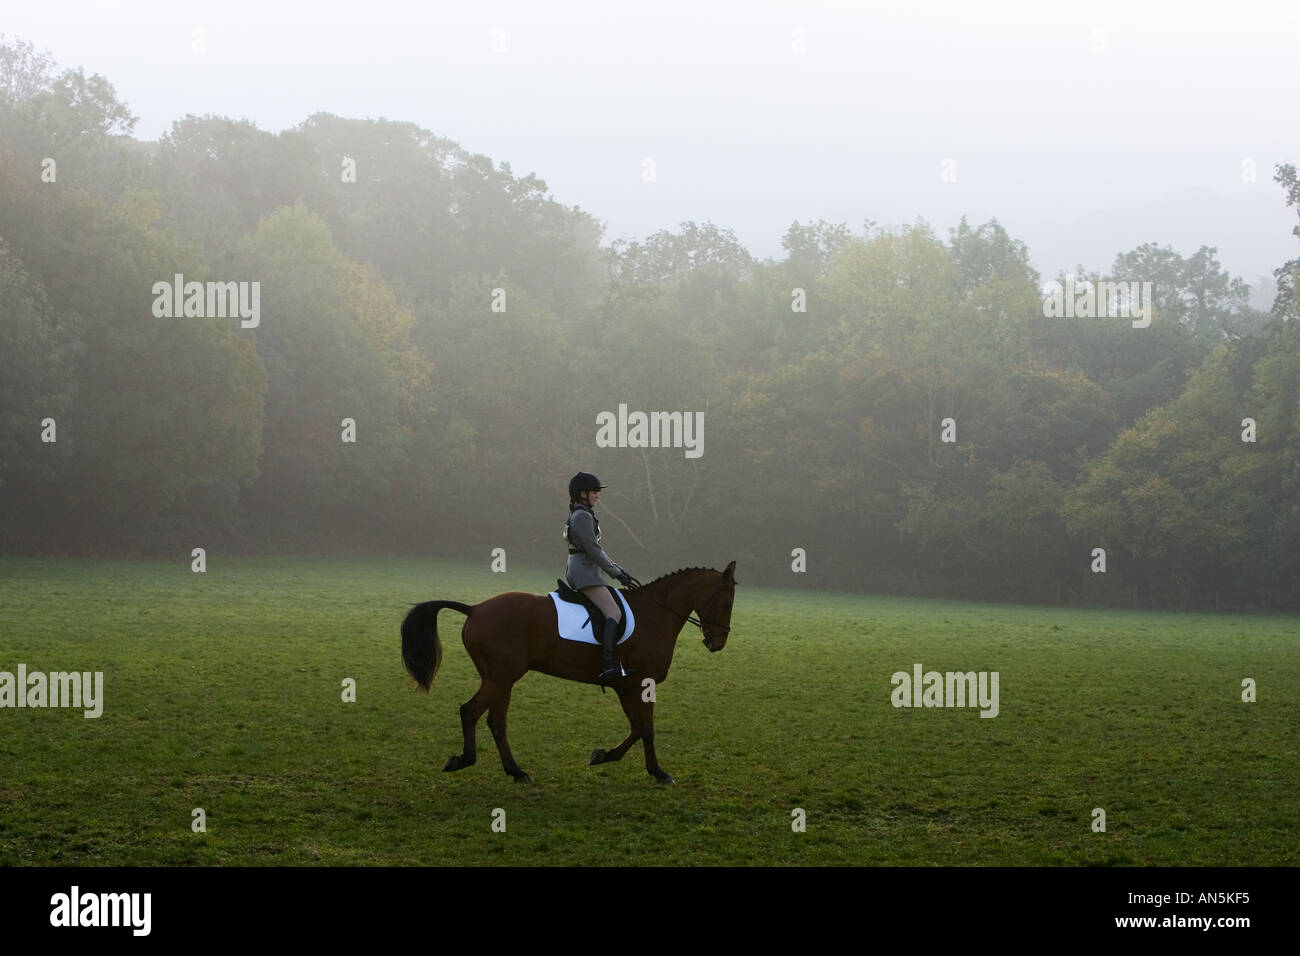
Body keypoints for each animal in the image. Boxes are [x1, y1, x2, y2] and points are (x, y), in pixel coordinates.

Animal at [401, 562, 736, 785]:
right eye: (726, 602)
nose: (717, 643)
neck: (655, 615)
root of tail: (475, 609)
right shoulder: (638, 684)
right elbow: (645, 729)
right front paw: (656, 771)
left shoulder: (629, 687)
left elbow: (639, 728)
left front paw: (607, 756)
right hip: (499, 679)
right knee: (470, 711)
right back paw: (463, 760)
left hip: (501, 680)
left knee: (496, 722)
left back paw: (515, 771)